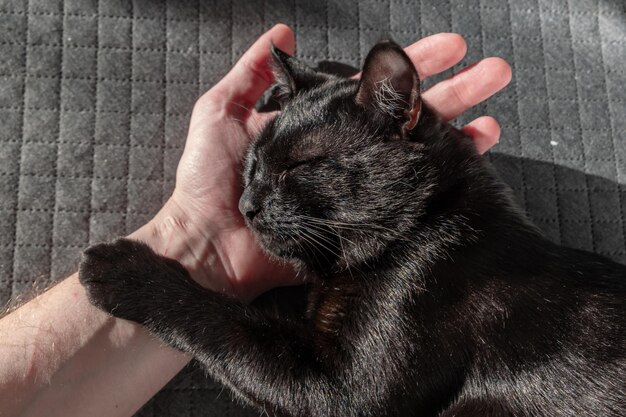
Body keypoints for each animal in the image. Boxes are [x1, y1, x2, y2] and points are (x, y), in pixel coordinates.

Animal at [80, 39, 620, 416]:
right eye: (253, 163)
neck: (427, 226)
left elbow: (226, 321)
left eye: (300, 166)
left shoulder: (343, 390)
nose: (246, 204)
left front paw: (123, 271)